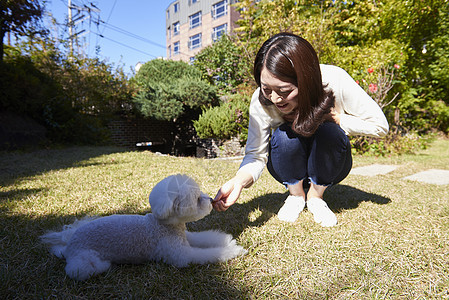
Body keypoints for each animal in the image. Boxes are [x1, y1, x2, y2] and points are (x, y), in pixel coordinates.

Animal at [40, 173, 247, 282]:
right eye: (197, 199)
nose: (211, 200)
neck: (163, 226)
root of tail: (68, 246)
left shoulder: (186, 237)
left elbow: (207, 238)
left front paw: (227, 241)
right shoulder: (181, 255)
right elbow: (209, 253)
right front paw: (234, 250)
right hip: (83, 263)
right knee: (79, 270)